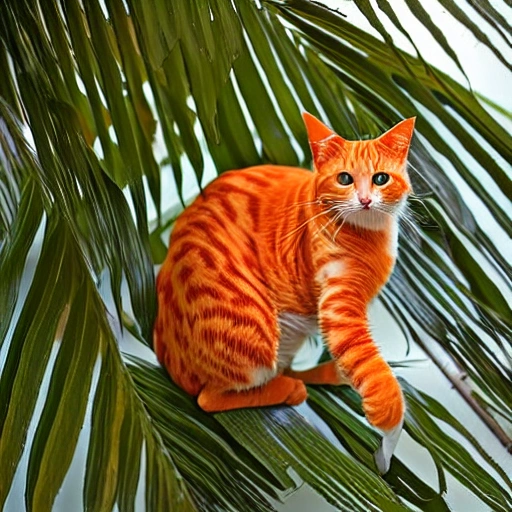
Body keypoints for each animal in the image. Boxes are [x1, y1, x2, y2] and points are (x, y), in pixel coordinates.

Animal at [155, 112, 416, 472]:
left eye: (380, 179)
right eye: (345, 179)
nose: (364, 200)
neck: (371, 235)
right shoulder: (337, 306)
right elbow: (367, 364)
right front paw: (390, 429)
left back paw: (326, 374)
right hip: (254, 332)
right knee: (210, 397)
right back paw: (290, 389)